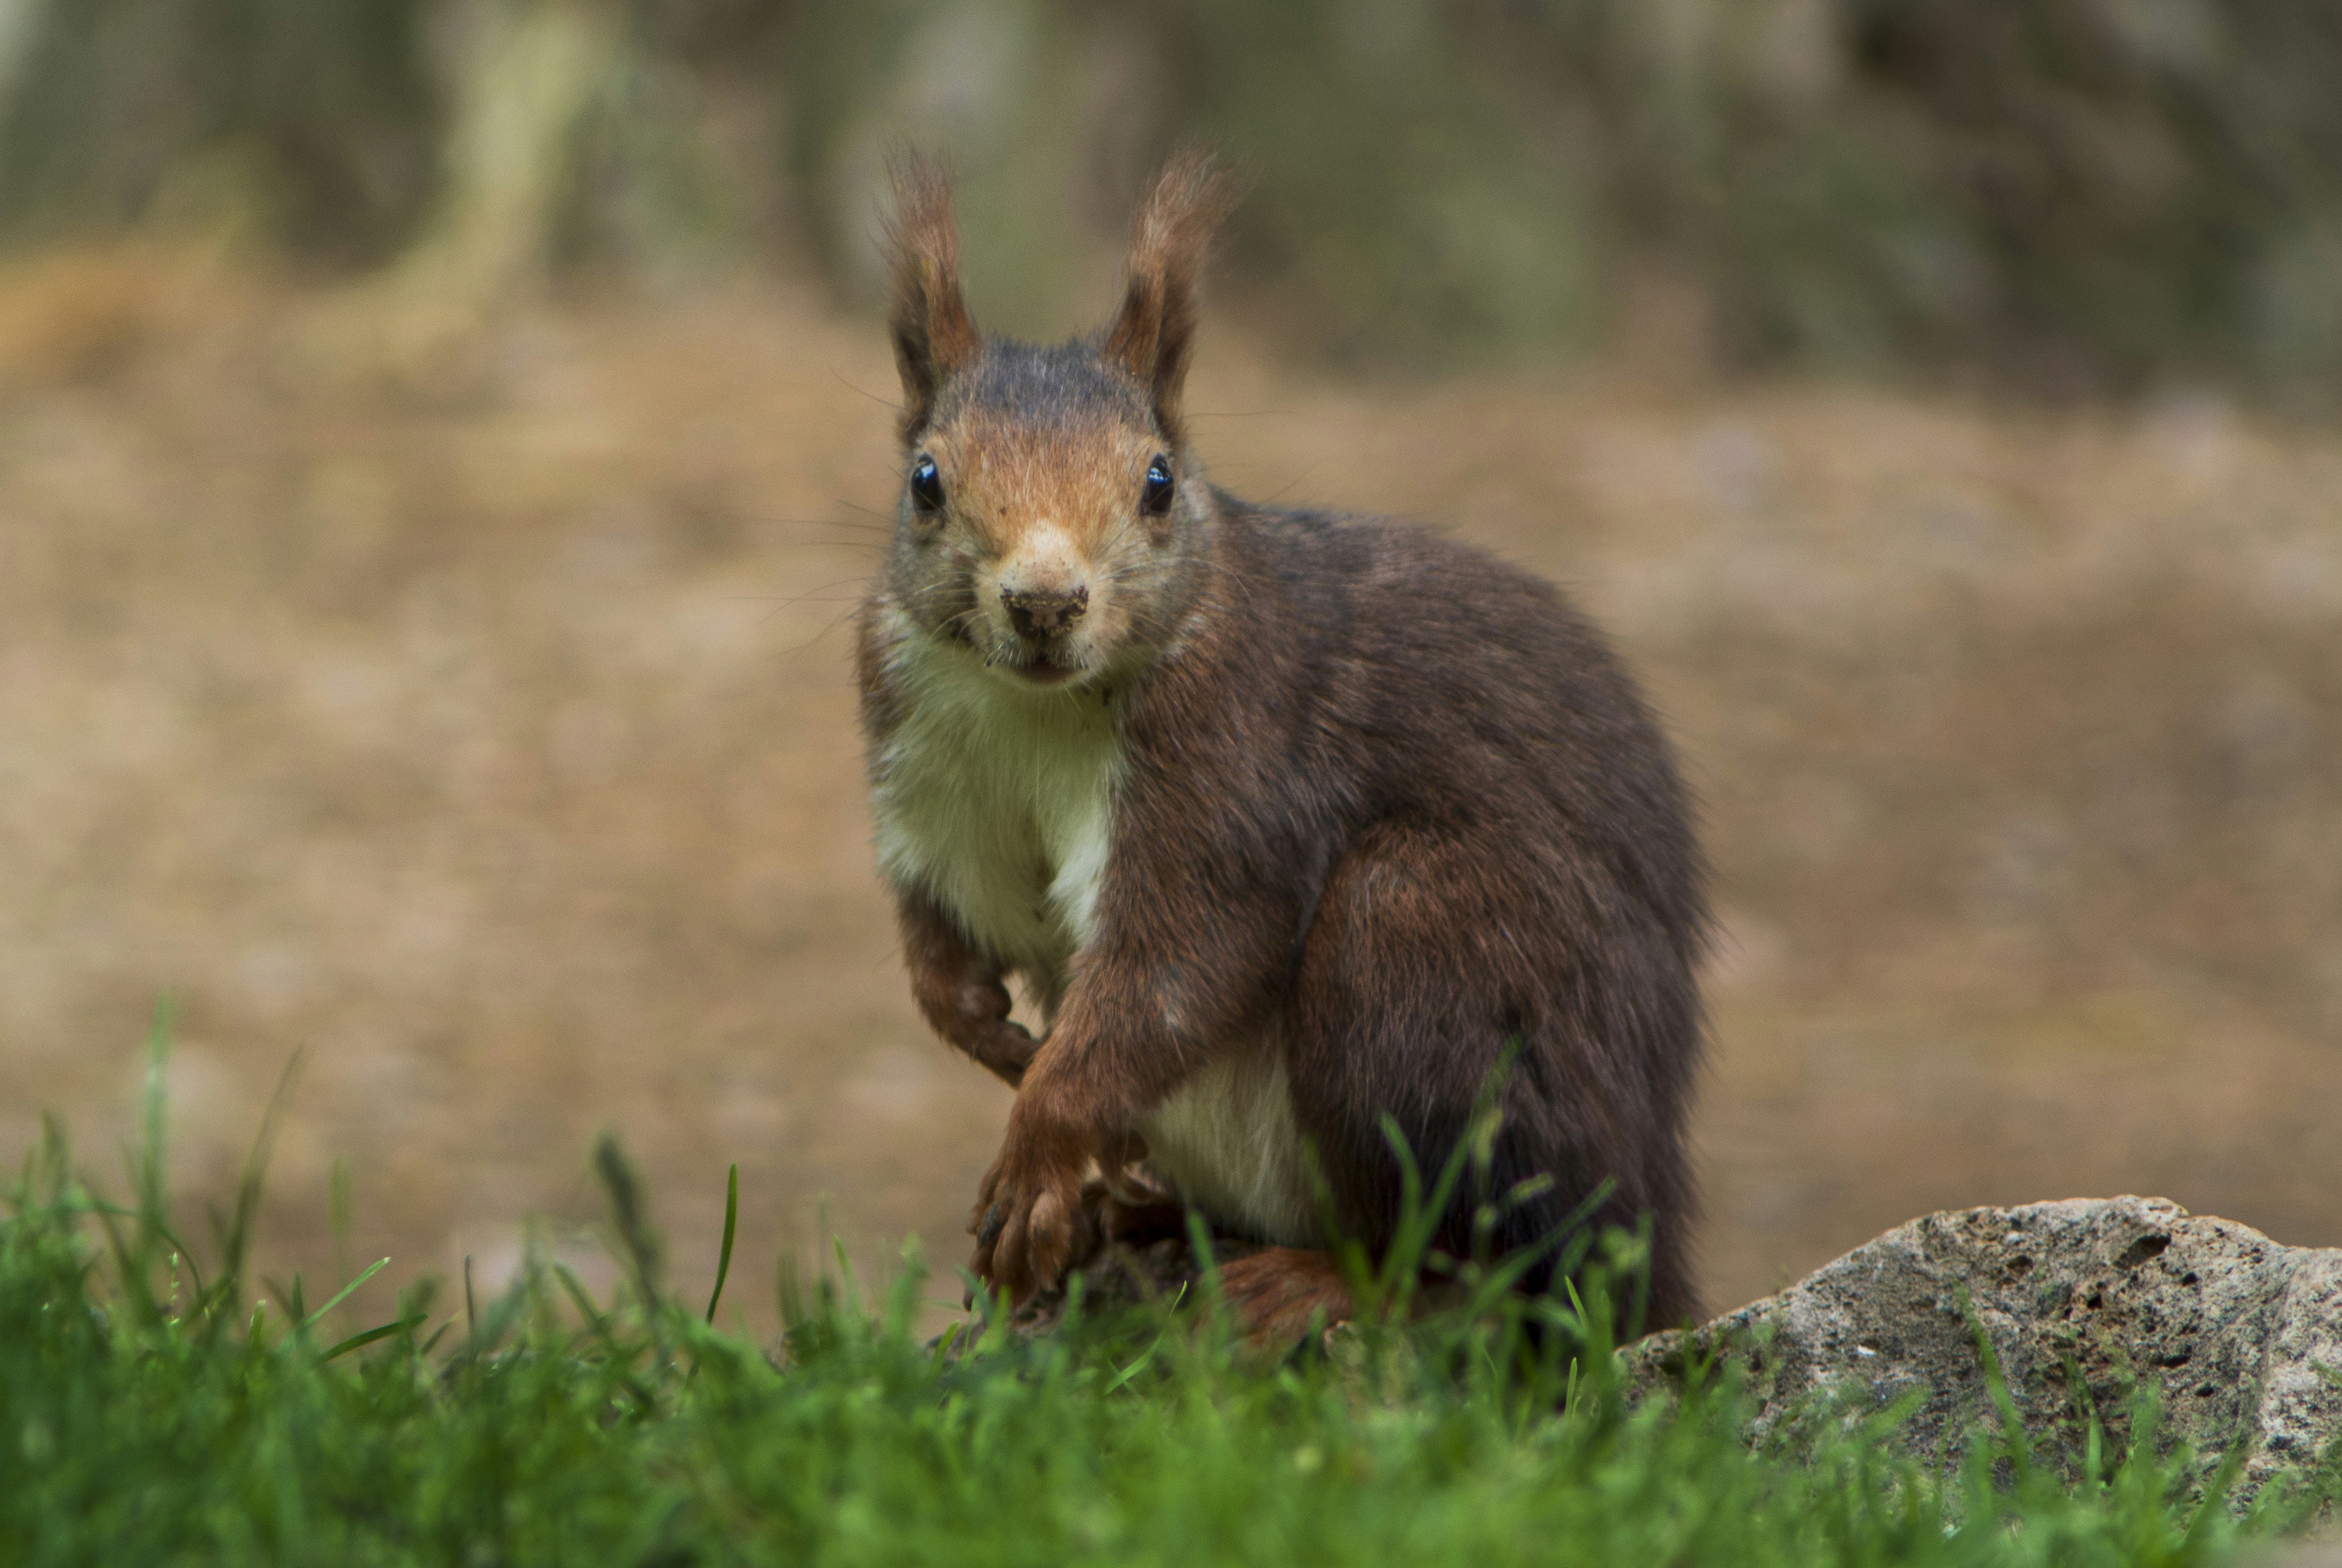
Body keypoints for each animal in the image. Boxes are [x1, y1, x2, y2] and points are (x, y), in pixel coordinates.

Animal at [856, 152, 1708, 1343]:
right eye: (926, 480)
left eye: (1160, 482)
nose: (1044, 601)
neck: (1033, 707)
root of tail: (1649, 1226)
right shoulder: (927, 767)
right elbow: (944, 923)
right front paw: (981, 1027)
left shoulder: (1238, 758)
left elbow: (1176, 963)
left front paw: (1038, 1143)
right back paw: (1135, 1212)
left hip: (1424, 951)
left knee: (1498, 1269)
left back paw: (1324, 1279)